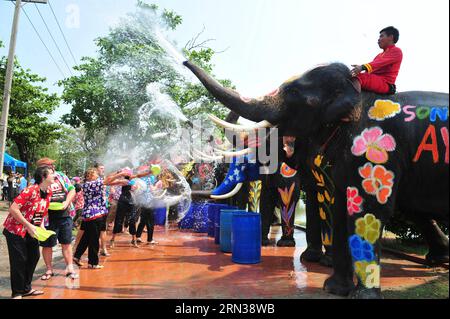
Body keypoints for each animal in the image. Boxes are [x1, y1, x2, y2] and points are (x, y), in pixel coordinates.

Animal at [184, 60, 450, 300]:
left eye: (293, 94)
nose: (185, 60)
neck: (357, 93)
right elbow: (335, 204)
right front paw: (332, 287)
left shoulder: (374, 149)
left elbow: (364, 209)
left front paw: (350, 287)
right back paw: (438, 259)